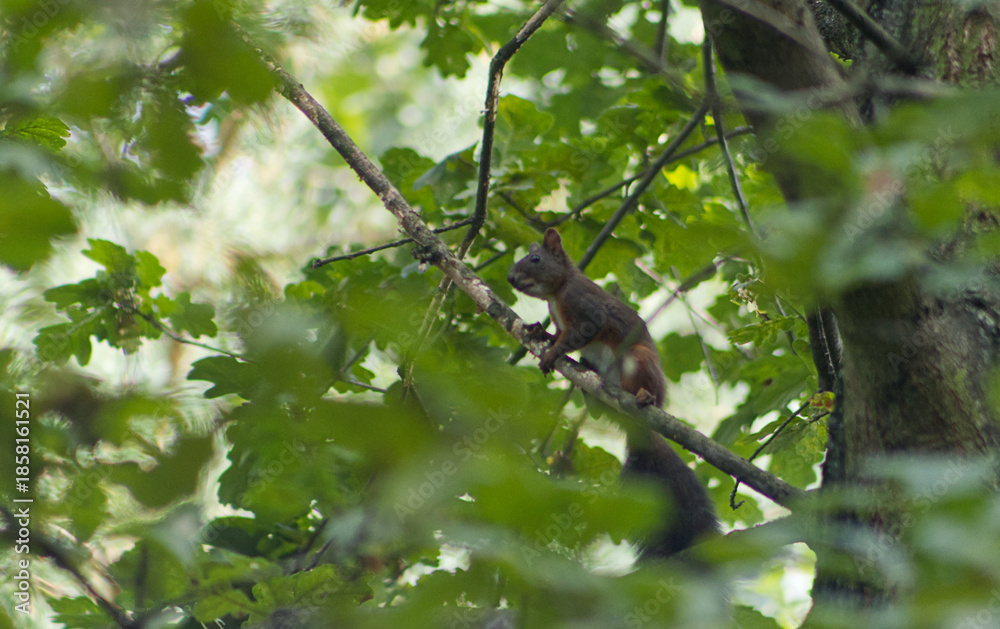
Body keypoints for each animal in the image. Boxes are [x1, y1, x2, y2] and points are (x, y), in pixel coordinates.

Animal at [508, 228, 718, 558]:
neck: (557, 291)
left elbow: (576, 336)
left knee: (649, 390)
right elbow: (558, 334)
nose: (510, 278)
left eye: (535, 259)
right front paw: (538, 331)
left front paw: (552, 353)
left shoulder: (586, 312)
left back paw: (645, 397)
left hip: (639, 358)